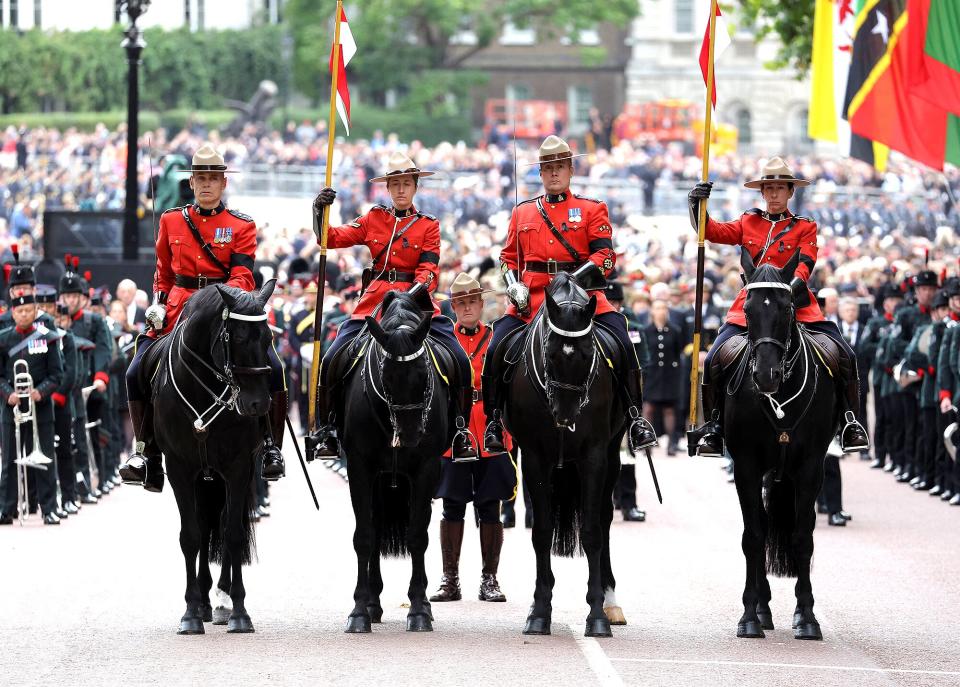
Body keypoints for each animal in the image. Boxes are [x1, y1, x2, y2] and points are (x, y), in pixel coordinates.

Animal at [142, 280, 278, 636]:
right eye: (238, 338)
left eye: (268, 338)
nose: (258, 404)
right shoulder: (179, 468)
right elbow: (191, 536)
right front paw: (190, 612)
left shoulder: (238, 467)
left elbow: (232, 534)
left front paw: (239, 612)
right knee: (203, 528)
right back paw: (203, 601)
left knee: (223, 523)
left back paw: (221, 599)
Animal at [340, 290, 456, 636]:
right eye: (386, 376)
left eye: (424, 373)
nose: (410, 434)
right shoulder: (360, 468)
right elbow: (364, 536)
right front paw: (359, 611)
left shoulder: (427, 468)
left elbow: (418, 536)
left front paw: (418, 610)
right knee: (375, 527)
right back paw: (372, 604)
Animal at [498, 274, 628, 640]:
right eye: (551, 353)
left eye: (587, 353)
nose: (566, 415)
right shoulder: (535, 457)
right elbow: (542, 531)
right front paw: (540, 611)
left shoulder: (594, 456)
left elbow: (592, 532)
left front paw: (596, 614)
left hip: (613, 455)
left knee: (604, 518)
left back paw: (612, 602)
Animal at [728, 250, 840, 644]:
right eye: (746, 309)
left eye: (787, 307)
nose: (765, 376)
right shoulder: (746, 466)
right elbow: (753, 537)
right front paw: (749, 616)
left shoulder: (810, 468)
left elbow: (802, 537)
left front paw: (806, 617)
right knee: (760, 527)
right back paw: (762, 609)